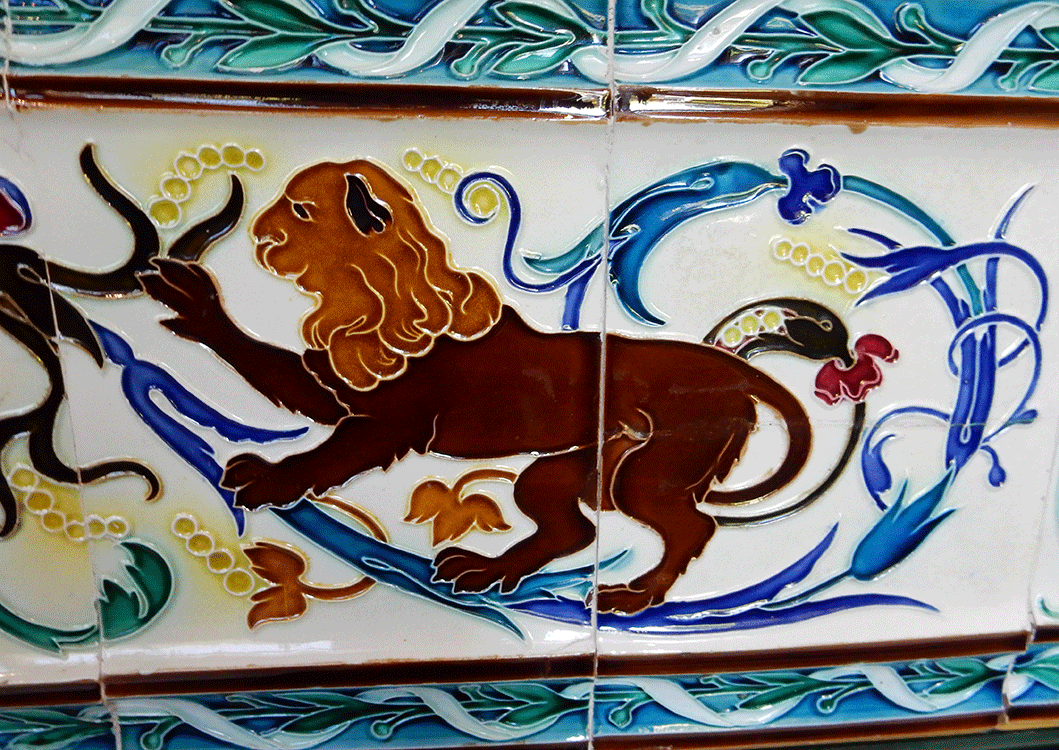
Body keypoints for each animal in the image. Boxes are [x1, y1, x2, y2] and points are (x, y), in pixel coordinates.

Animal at [139, 159, 890, 615]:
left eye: (299, 210)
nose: (261, 239)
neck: (376, 293)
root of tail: (736, 369)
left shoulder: (386, 422)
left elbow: (325, 454)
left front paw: (269, 478)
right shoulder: (339, 389)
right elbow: (267, 363)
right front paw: (197, 305)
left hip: (649, 473)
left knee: (691, 525)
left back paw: (631, 595)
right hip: (572, 470)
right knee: (569, 526)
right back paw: (486, 571)